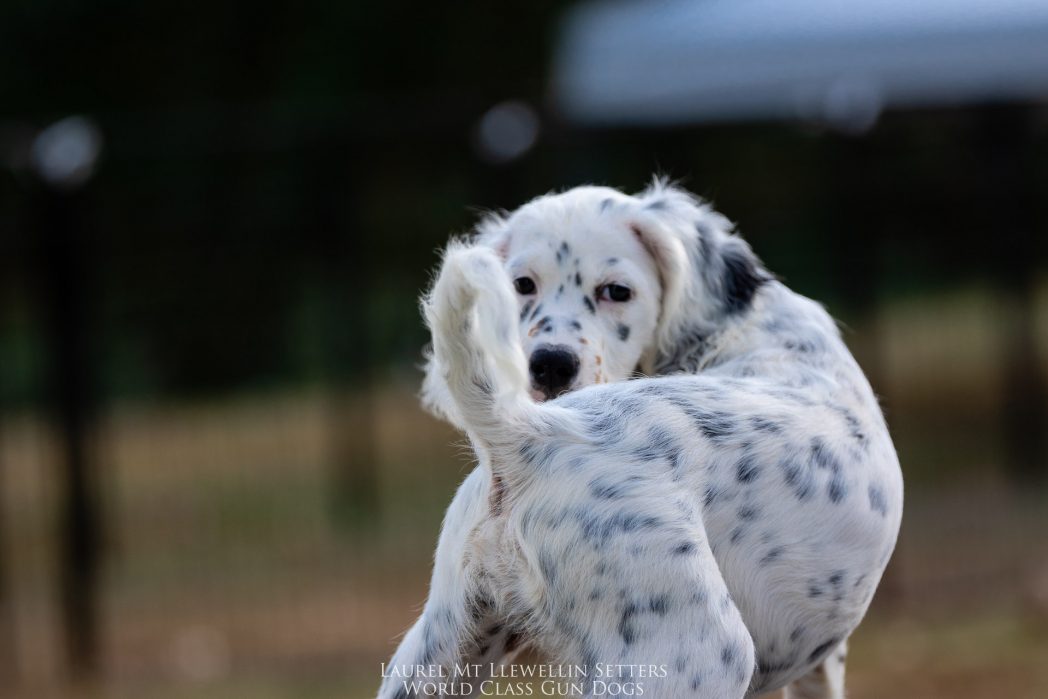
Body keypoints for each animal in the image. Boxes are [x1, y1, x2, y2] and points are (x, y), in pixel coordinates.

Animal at [381, 182, 905, 699]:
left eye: (617, 292)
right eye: (522, 285)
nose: (549, 364)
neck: (746, 327)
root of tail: (527, 433)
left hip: (438, 650)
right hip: (691, 652)